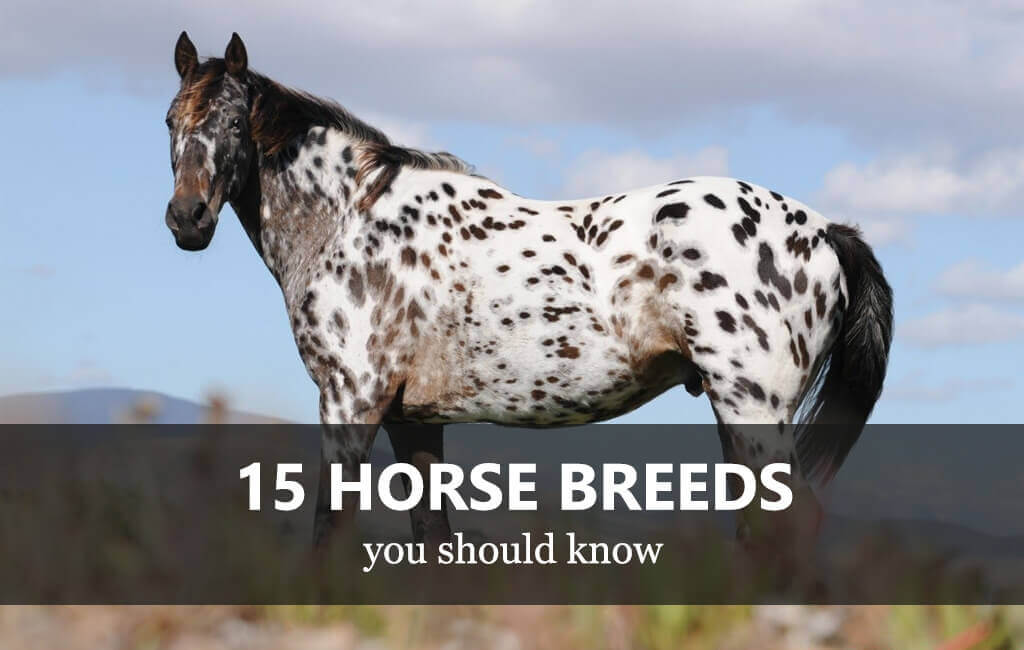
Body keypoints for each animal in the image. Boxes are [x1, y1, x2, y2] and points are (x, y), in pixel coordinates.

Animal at [163, 32, 893, 551]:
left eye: (236, 123)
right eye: (171, 119)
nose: (186, 218)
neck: (352, 217)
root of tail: (827, 232)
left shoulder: (351, 403)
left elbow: (327, 534)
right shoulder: (411, 420)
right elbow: (433, 542)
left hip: (753, 408)